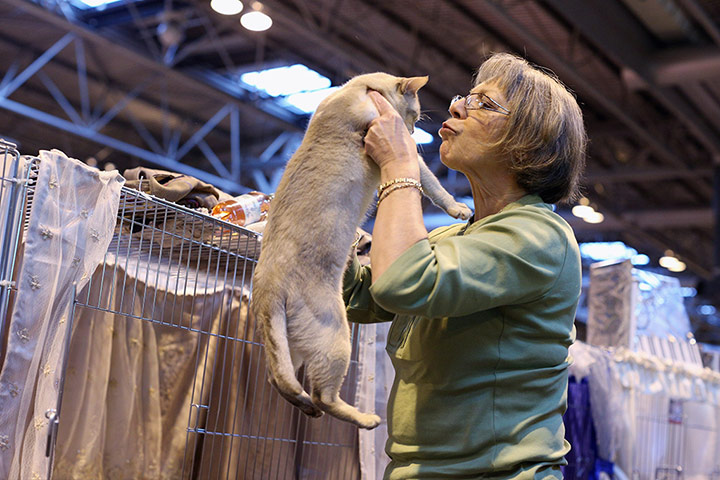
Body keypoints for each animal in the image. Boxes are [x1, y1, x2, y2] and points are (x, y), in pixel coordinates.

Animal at [250, 73, 476, 430]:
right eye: (414, 116)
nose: (413, 131)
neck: (358, 90)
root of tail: (267, 285)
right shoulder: (408, 153)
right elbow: (434, 186)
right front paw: (460, 209)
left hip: (292, 345)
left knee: (282, 380)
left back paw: (307, 407)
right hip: (335, 338)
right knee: (322, 395)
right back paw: (366, 419)